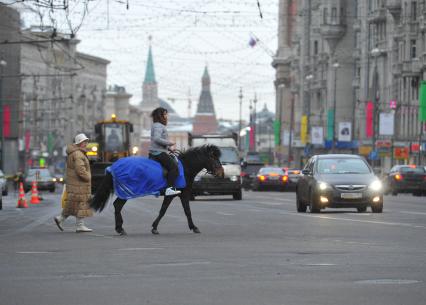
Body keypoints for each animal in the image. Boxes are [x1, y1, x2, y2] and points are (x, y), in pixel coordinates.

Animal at [89, 144, 223, 235]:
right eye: (214, 158)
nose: (221, 173)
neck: (185, 168)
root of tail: (113, 166)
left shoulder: (181, 195)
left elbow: (183, 211)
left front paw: (193, 227)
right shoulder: (175, 194)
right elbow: (166, 211)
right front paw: (154, 227)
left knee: (117, 205)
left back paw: (119, 228)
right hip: (126, 192)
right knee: (117, 205)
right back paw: (120, 228)